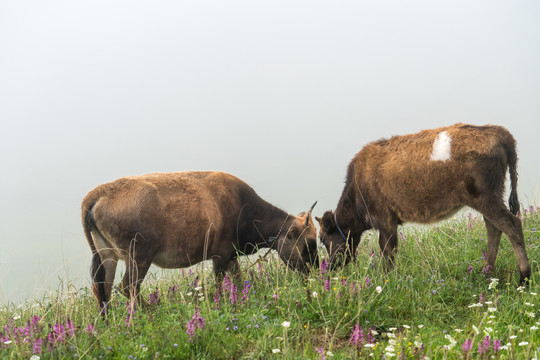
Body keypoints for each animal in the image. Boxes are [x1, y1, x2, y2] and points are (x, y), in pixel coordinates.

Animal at [82, 171, 318, 310]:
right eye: (309, 244)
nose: (316, 271)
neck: (242, 207)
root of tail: (97, 194)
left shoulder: (230, 256)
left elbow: (238, 279)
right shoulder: (220, 256)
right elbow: (219, 283)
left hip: (107, 256)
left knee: (102, 289)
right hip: (139, 257)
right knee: (127, 287)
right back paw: (148, 311)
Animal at [316, 124, 532, 284]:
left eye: (324, 239)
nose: (331, 267)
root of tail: (498, 131)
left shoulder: (385, 220)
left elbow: (387, 251)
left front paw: (386, 280)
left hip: (485, 198)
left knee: (511, 225)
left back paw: (524, 277)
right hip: (489, 199)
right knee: (494, 229)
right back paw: (486, 271)